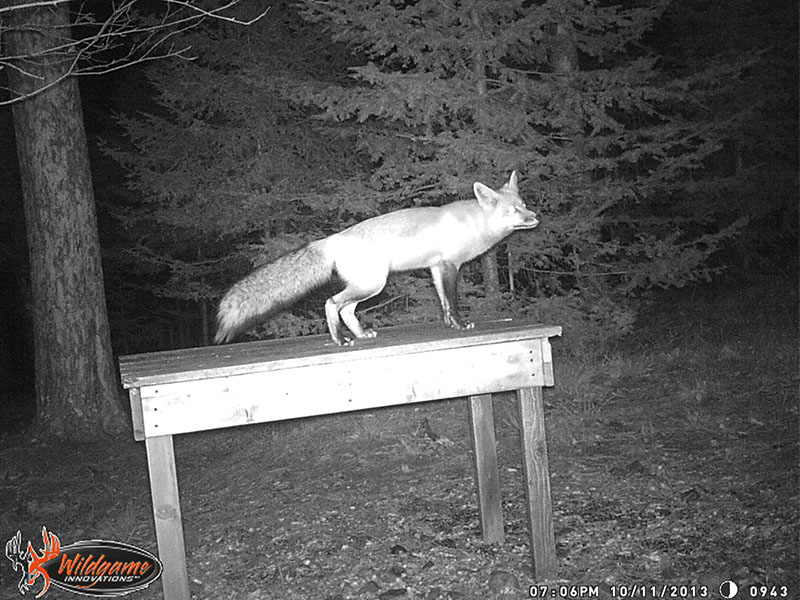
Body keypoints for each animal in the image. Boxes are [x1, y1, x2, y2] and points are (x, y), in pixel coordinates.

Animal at [215, 171, 539, 346]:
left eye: (524, 205)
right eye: (513, 212)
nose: (536, 217)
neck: (474, 224)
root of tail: (334, 239)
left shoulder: (436, 267)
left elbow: (444, 303)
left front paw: (450, 324)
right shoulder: (449, 265)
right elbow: (454, 301)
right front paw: (460, 324)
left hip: (368, 286)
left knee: (346, 310)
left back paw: (359, 334)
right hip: (373, 285)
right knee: (332, 304)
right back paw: (340, 339)